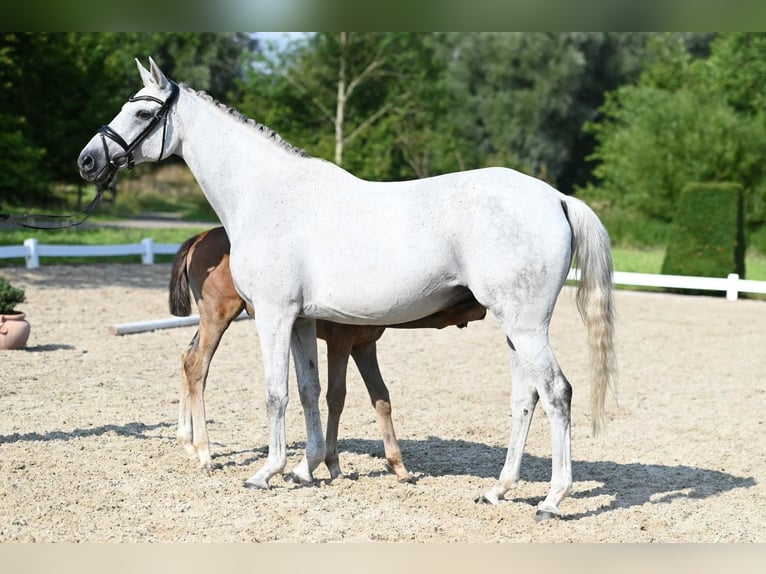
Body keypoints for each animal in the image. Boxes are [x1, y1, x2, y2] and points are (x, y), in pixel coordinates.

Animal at [78, 59, 616, 520]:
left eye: (143, 111)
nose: (87, 160)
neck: (266, 194)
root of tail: (557, 198)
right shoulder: (302, 321)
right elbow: (310, 390)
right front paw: (307, 467)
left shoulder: (273, 315)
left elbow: (276, 393)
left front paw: (267, 472)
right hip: (514, 327)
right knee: (525, 398)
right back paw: (497, 490)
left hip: (525, 326)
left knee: (557, 393)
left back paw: (552, 500)